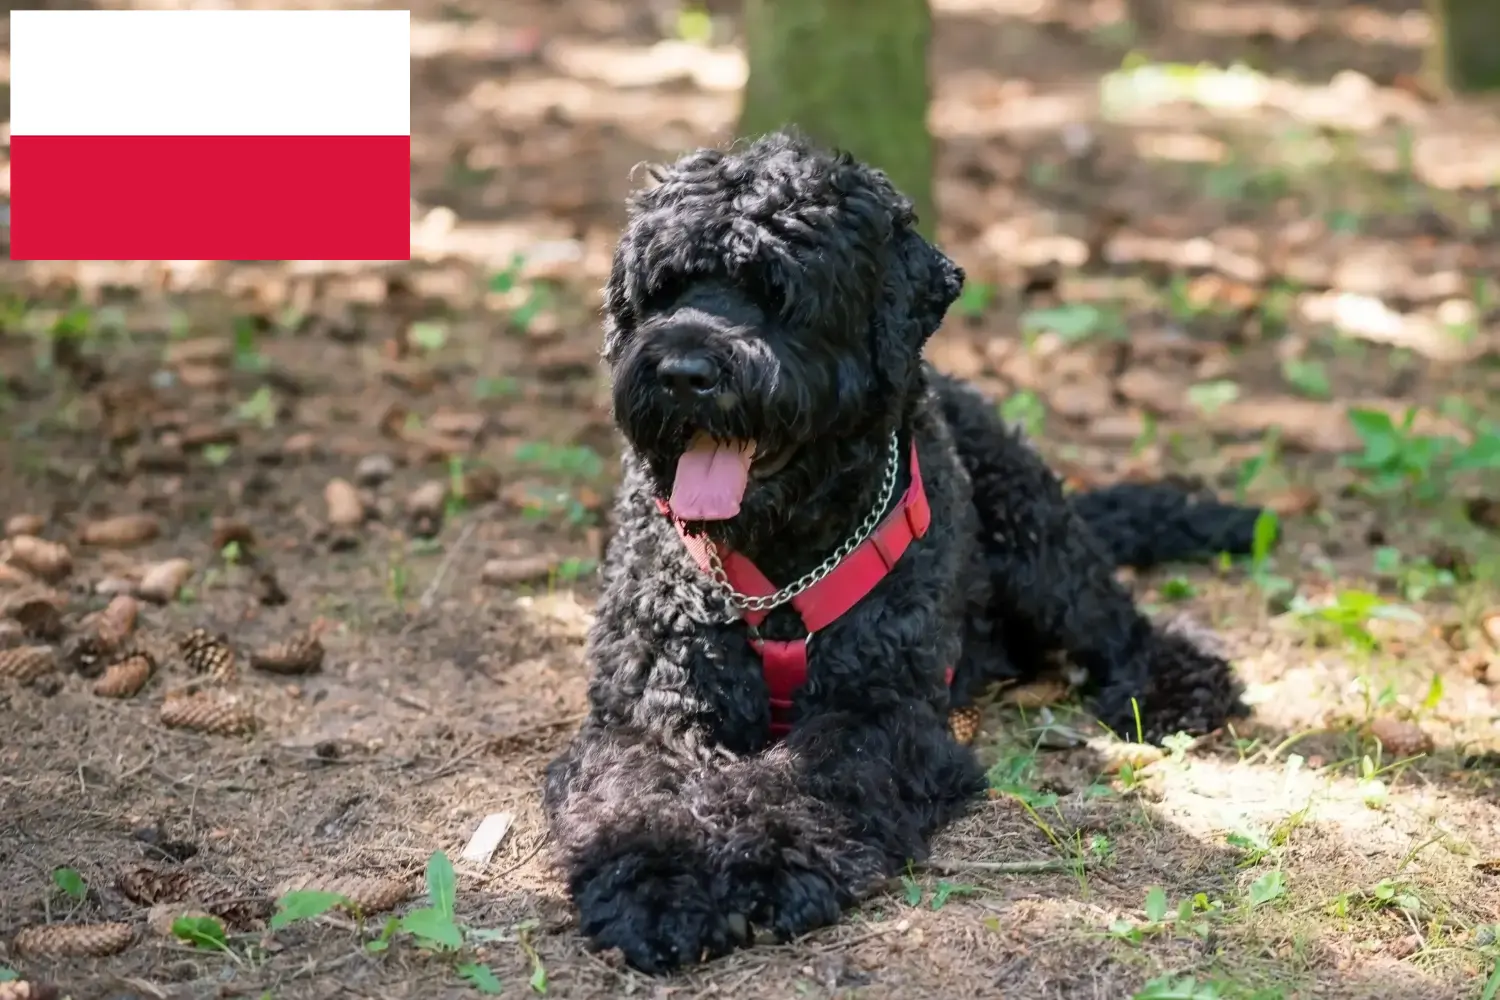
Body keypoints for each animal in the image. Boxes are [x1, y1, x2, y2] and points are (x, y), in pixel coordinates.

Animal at [546, 128, 1260, 971]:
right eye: (664, 287)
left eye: (780, 290)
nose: (683, 372)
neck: (779, 573)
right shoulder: (644, 711)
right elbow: (640, 789)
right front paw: (658, 878)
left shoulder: (879, 713)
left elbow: (804, 780)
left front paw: (764, 858)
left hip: (1039, 542)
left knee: (1116, 621)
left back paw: (1177, 684)